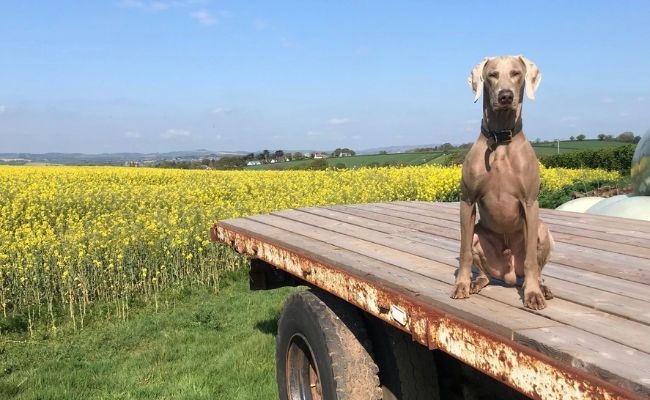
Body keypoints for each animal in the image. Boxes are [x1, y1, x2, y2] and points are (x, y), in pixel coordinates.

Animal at [450, 54, 552, 310]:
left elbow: (531, 260)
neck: (500, 140)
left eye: (516, 73)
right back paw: (476, 282)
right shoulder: (467, 201)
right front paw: (461, 285)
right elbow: (464, 251)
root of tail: (508, 276)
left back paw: (541, 288)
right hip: (479, 238)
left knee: (534, 268)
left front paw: (533, 294)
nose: (505, 96)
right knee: (486, 273)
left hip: (543, 231)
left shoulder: (530, 202)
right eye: (492, 75)